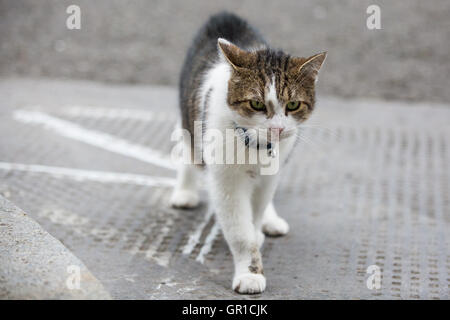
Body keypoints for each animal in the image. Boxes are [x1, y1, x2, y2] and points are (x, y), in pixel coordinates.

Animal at [171, 12, 326, 294]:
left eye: (293, 104)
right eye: (256, 103)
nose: (277, 129)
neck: (255, 145)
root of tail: (225, 16)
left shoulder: (271, 172)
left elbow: (256, 212)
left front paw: (258, 230)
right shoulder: (227, 181)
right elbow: (241, 232)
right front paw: (250, 273)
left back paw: (270, 220)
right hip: (188, 116)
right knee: (188, 149)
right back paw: (185, 191)